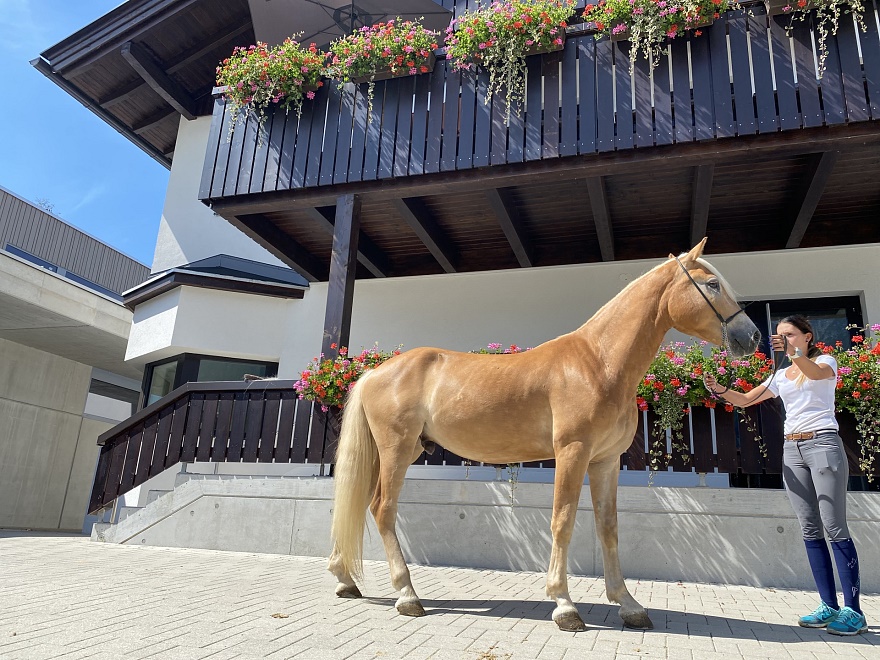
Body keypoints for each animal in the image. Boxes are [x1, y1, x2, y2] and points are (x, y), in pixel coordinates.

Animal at [326, 240, 760, 632]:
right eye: (713, 284)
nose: (752, 337)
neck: (598, 363)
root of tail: (376, 371)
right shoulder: (572, 452)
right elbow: (562, 521)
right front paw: (564, 605)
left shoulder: (606, 461)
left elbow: (609, 527)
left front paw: (629, 605)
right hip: (397, 450)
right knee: (382, 508)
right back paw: (407, 596)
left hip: (389, 452)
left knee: (358, 502)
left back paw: (346, 580)